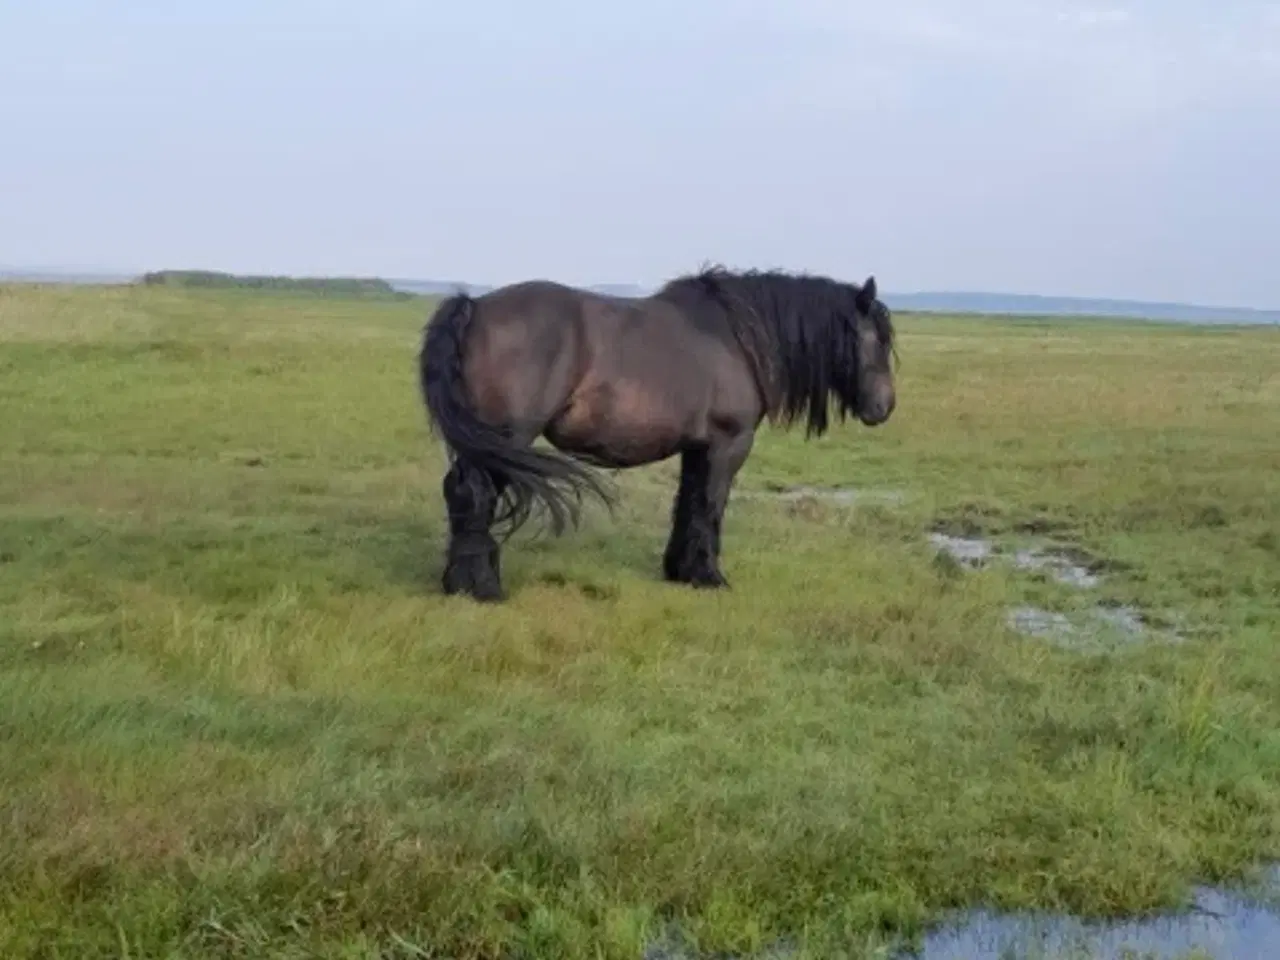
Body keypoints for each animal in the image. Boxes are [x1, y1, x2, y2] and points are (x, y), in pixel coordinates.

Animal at [414, 263, 896, 604]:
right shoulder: (729, 444)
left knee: (461, 493)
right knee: (475, 495)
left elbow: (688, 503)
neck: (738, 337)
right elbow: (710, 506)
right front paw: (709, 577)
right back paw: (482, 588)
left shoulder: (698, 447)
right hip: (506, 438)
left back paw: (460, 583)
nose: (885, 407)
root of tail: (475, 307)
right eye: (877, 340)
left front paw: (681, 571)